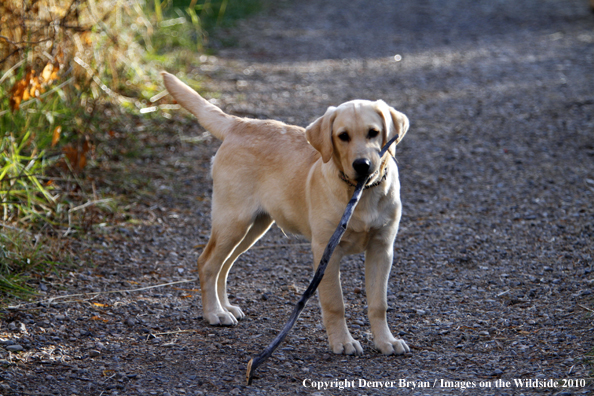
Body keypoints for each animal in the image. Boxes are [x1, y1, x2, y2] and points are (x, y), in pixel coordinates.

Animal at [162, 72, 412, 356]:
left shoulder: (382, 248)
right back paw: (214, 313)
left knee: (223, 265)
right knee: (207, 263)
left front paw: (386, 341)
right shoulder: (327, 250)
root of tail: (240, 124)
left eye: (374, 133)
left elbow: (379, 303)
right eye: (343, 136)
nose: (362, 165)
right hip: (232, 221)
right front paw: (343, 341)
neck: (361, 193)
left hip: (254, 227)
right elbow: (335, 303)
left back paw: (224, 306)